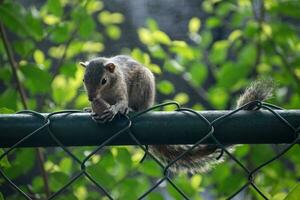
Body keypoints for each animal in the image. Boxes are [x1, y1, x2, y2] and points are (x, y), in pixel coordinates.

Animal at [79, 54, 274, 173]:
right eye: (83, 79)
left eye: (103, 80)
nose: (90, 97)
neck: (106, 94)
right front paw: (90, 109)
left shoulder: (121, 90)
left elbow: (121, 103)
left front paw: (114, 110)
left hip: (144, 85)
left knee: (140, 107)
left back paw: (134, 109)